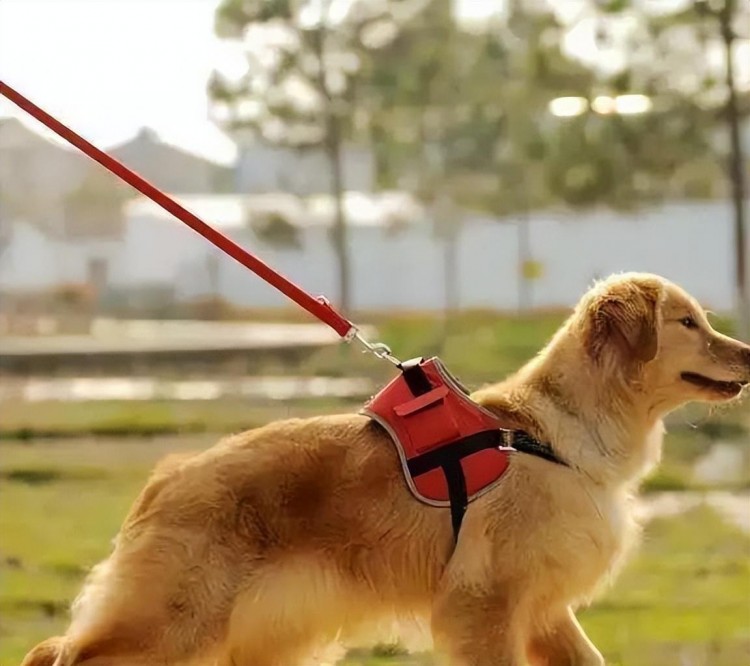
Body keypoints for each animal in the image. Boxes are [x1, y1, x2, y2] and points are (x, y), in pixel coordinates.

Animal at [20, 272, 748, 664]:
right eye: (688, 322)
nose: (749, 353)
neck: (551, 433)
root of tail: (167, 477)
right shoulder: (485, 603)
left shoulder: (543, 609)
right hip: (171, 621)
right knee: (57, 653)